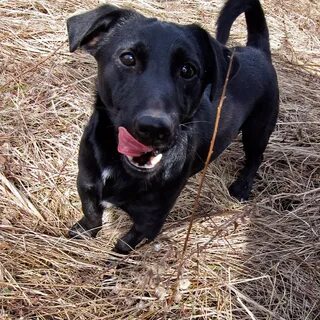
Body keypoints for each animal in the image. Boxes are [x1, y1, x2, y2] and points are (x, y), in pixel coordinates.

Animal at [67, 0, 278, 254]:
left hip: (258, 129)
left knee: (255, 158)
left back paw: (242, 187)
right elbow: (92, 217)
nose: (155, 128)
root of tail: (258, 51)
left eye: (188, 70)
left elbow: (123, 247)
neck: (117, 164)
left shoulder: (149, 222)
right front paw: (81, 233)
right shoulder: (86, 185)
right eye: (128, 58)